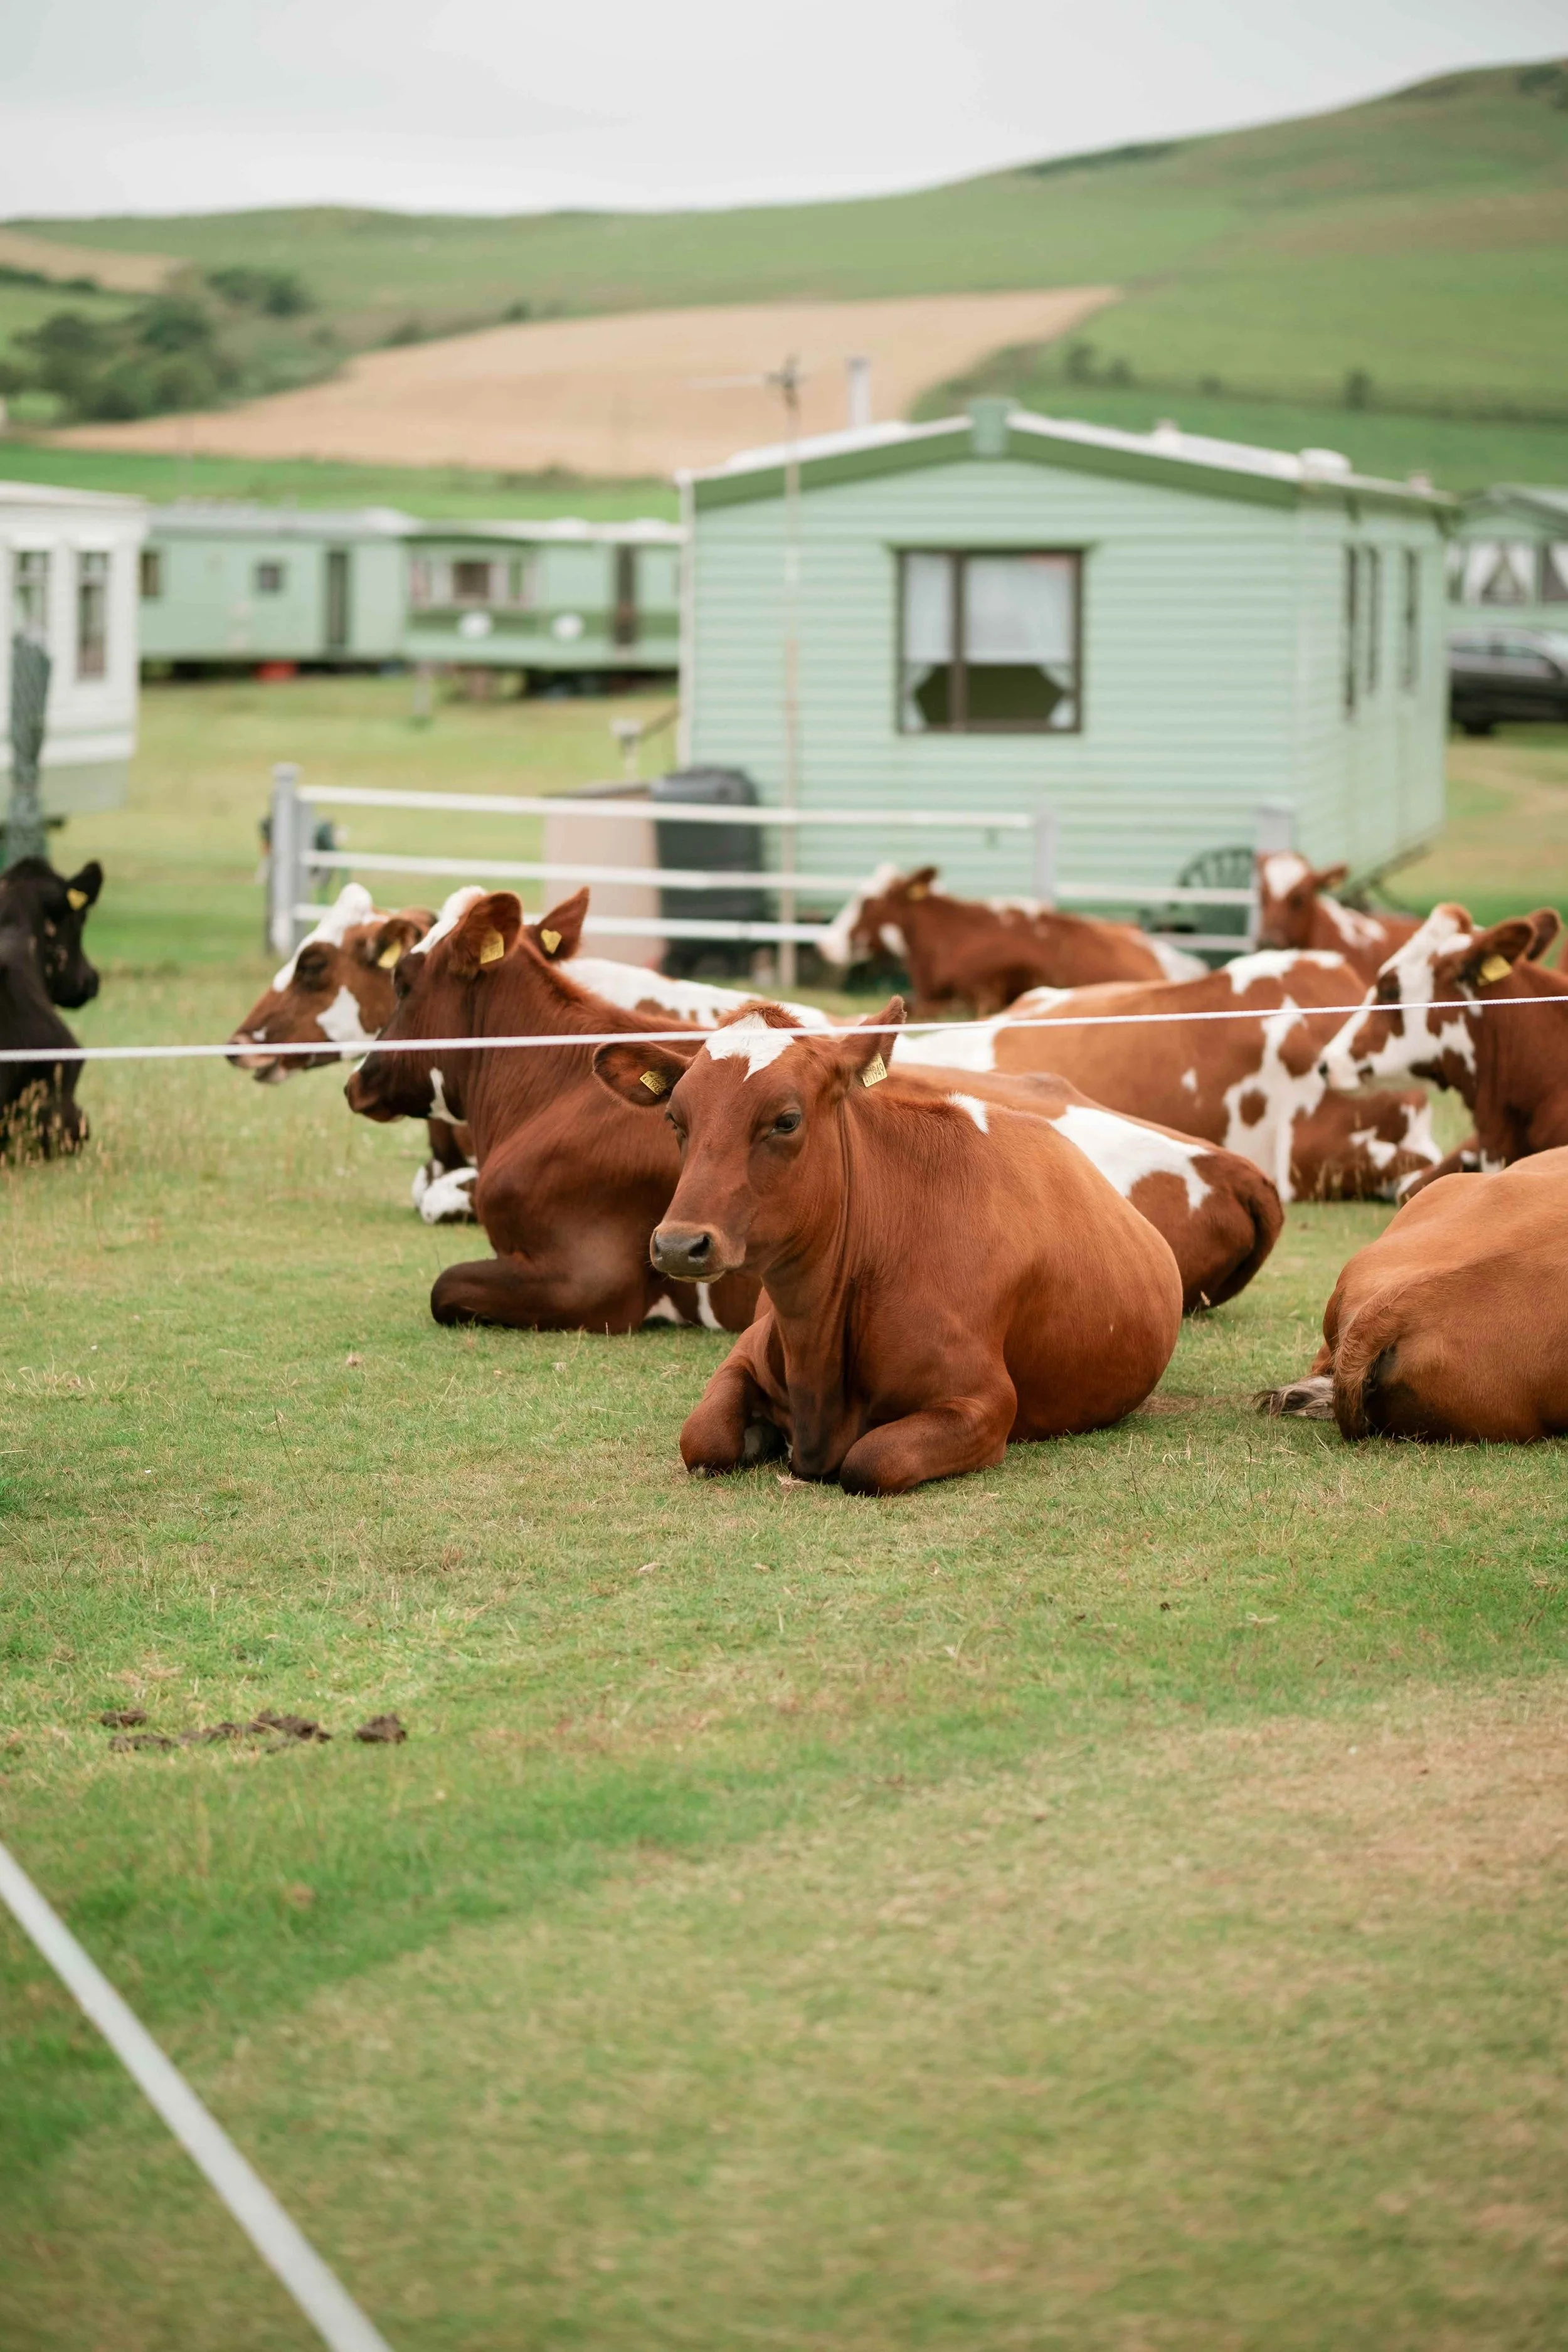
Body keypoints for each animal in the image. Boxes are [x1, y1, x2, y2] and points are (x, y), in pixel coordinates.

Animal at [593, 1001, 1183, 1494]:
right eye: (674, 1119)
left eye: (786, 1120)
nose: (678, 1244)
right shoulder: (743, 1355)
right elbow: (703, 1438)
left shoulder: (987, 1402)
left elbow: (871, 1461)